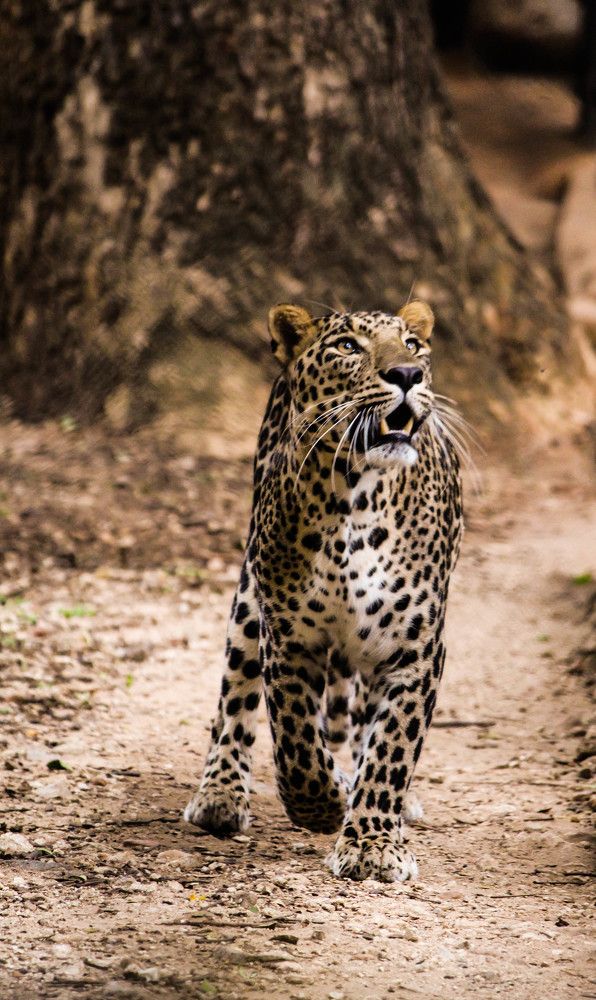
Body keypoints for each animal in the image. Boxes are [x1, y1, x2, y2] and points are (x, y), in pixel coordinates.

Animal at [184, 300, 463, 883]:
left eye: (413, 345)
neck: (355, 502)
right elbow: (295, 742)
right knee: (235, 695)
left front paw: (373, 844)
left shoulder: (415, 648)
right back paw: (220, 794)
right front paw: (325, 804)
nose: (408, 374)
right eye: (347, 347)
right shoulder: (288, 637)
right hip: (248, 597)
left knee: (365, 721)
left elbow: (391, 747)